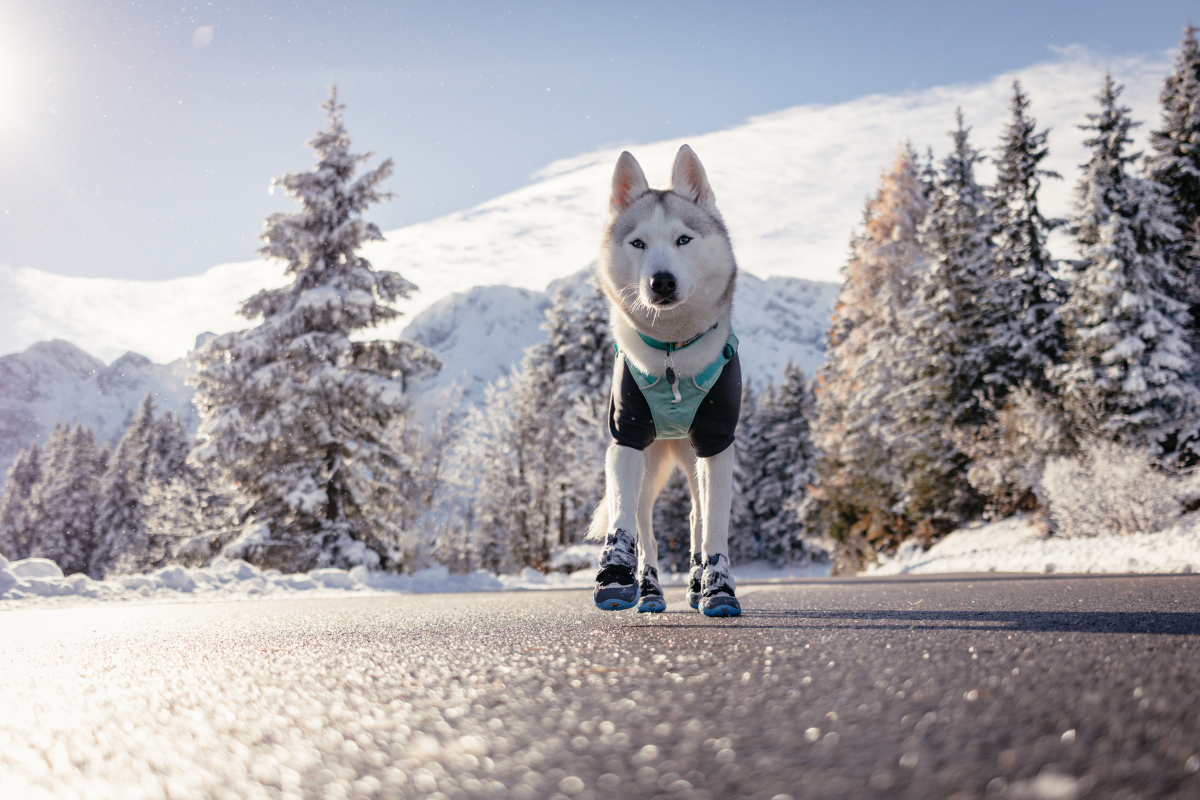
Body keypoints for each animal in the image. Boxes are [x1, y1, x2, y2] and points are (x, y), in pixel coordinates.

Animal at [588, 145, 739, 618]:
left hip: (693, 459)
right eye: (638, 243)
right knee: (645, 522)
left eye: (683, 240)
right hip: (652, 461)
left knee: (696, 516)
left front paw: (718, 588)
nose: (662, 282)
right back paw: (651, 590)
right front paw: (615, 577)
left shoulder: (716, 441)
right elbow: (623, 515)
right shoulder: (627, 435)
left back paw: (696, 584)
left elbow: (714, 523)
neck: (673, 354)